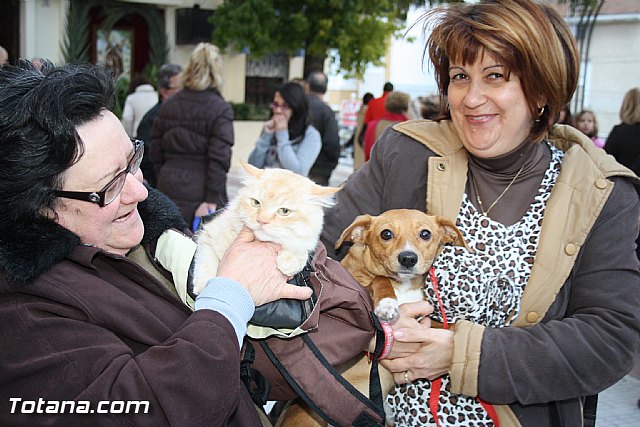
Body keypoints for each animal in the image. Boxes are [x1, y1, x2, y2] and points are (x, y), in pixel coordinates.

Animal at [190, 162, 340, 296]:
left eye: (284, 211)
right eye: (256, 203)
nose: (261, 220)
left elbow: (299, 250)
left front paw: (290, 261)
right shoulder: (208, 235)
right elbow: (207, 261)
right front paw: (204, 285)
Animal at [278, 211, 468, 427]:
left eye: (425, 234)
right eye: (386, 234)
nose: (408, 258)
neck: (403, 284)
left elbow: (441, 325)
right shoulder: (356, 288)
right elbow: (380, 278)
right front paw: (387, 303)